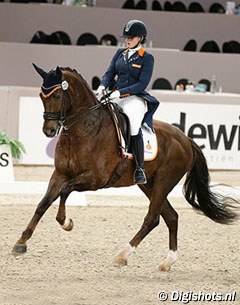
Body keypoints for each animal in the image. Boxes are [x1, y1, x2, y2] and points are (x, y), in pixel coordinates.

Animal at [12, 64, 238, 270]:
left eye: (58, 95)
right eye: (41, 95)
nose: (49, 131)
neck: (84, 128)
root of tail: (186, 139)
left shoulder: (95, 179)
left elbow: (65, 191)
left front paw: (66, 222)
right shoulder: (59, 174)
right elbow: (43, 203)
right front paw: (21, 243)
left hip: (164, 181)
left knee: (152, 218)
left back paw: (123, 255)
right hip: (148, 184)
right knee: (170, 217)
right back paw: (167, 261)